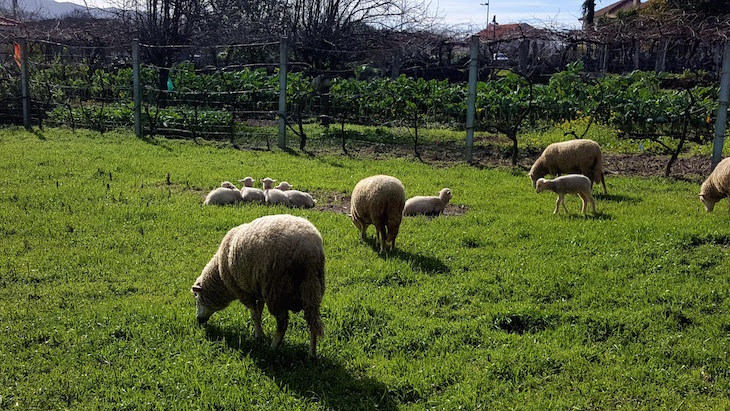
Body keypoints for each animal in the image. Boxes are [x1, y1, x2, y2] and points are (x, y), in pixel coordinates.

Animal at [191, 216, 324, 360]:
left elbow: (254, 314)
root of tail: (310, 252)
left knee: (283, 323)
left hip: (275, 290)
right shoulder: (258, 290)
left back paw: (272, 347)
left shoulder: (242, 292)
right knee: (313, 321)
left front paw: (259, 336)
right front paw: (259, 331)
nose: (198, 320)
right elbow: (259, 311)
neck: (220, 277)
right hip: (312, 288)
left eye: (196, 297)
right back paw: (312, 353)